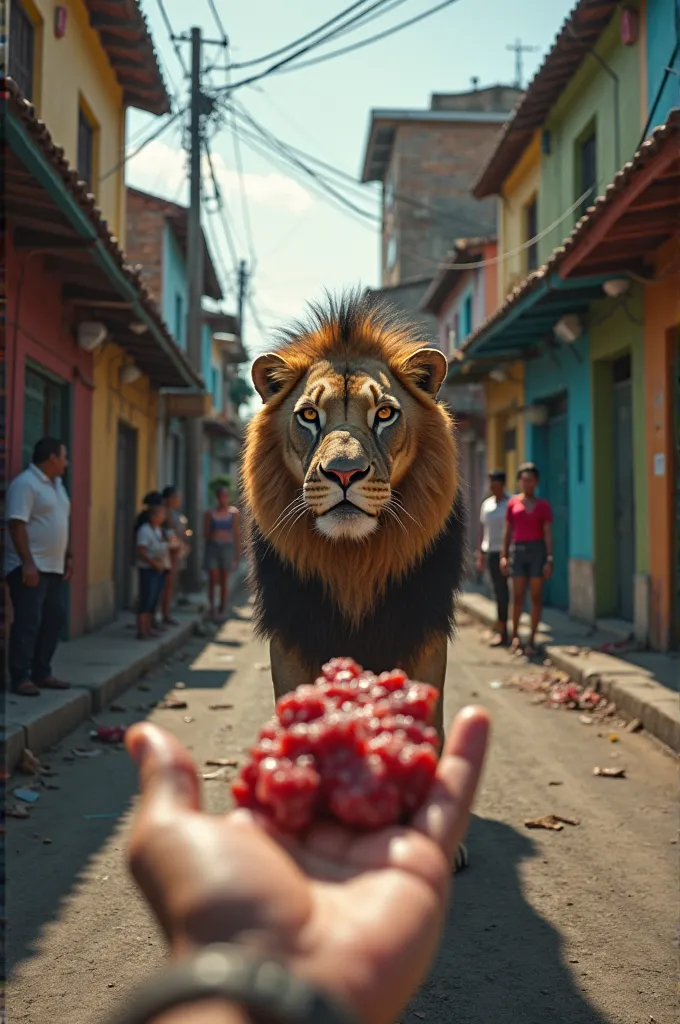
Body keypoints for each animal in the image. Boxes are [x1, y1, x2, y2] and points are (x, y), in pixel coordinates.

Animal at [240, 292, 466, 749]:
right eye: (309, 416)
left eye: (384, 414)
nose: (344, 473)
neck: (352, 564)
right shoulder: (292, 640)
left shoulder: (424, 637)